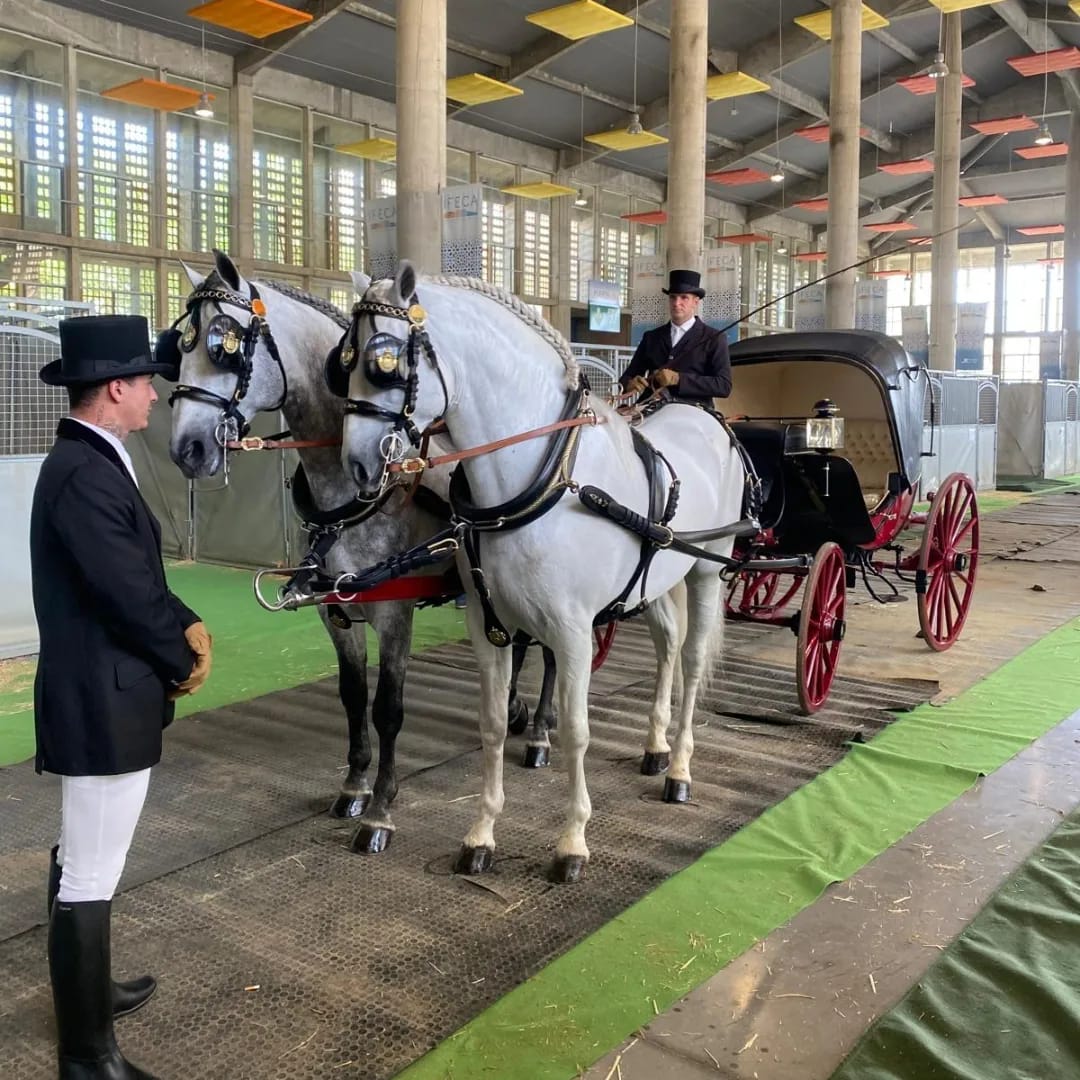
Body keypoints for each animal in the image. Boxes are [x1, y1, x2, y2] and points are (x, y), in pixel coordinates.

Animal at [165, 250, 556, 855]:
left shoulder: (395, 612)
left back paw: (538, 731)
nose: (187, 448)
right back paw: (513, 710)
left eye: (223, 344)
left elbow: (387, 708)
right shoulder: (335, 612)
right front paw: (352, 786)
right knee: (514, 645)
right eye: (179, 346)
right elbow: (352, 696)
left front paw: (380, 812)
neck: (351, 498)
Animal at [337, 262, 746, 883]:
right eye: (345, 356)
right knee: (668, 648)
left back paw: (678, 769)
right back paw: (655, 747)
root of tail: (708, 422)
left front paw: (572, 841)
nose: (358, 465)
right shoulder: (489, 626)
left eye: (385, 360)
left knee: (694, 661)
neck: (541, 475)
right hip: (655, 582)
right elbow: (489, 723)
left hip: (706, 568)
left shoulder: (573, 632)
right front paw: (481, 833)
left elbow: (576, 731)